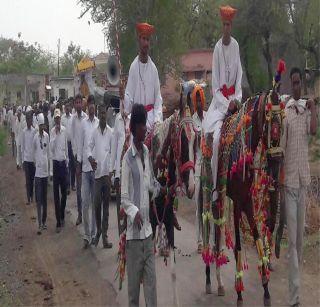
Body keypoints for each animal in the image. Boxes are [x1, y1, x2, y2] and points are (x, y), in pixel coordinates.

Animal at [200, 61, 284, 306]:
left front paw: (266, 289)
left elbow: (257, 237)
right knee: (209, 228)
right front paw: (239, 293)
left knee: (217, 231)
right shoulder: (237, 202)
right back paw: (209, 278)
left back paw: (218, 282)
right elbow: (237, 243)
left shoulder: (247, 201)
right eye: (269, 121)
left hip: (221, 198)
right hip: (209, 190)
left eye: (283, 121)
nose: (277, 159)